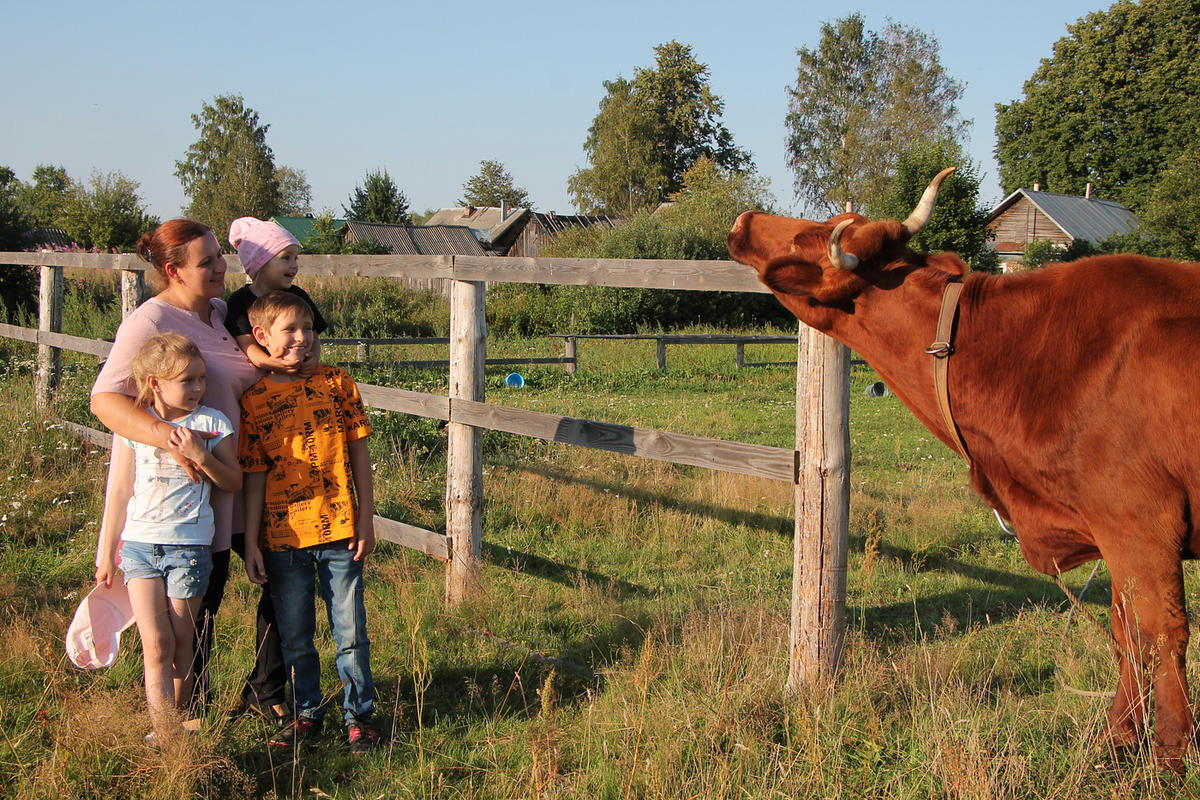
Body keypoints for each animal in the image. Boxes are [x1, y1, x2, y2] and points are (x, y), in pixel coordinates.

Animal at [724, 167, 1200, 762]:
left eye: (808, 238)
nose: (744, 221)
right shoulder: (1115, 532)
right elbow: (1124, 631)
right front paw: (1116, 743)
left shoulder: (1139, 522)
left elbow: (1159, 633)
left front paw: (1168, 756)